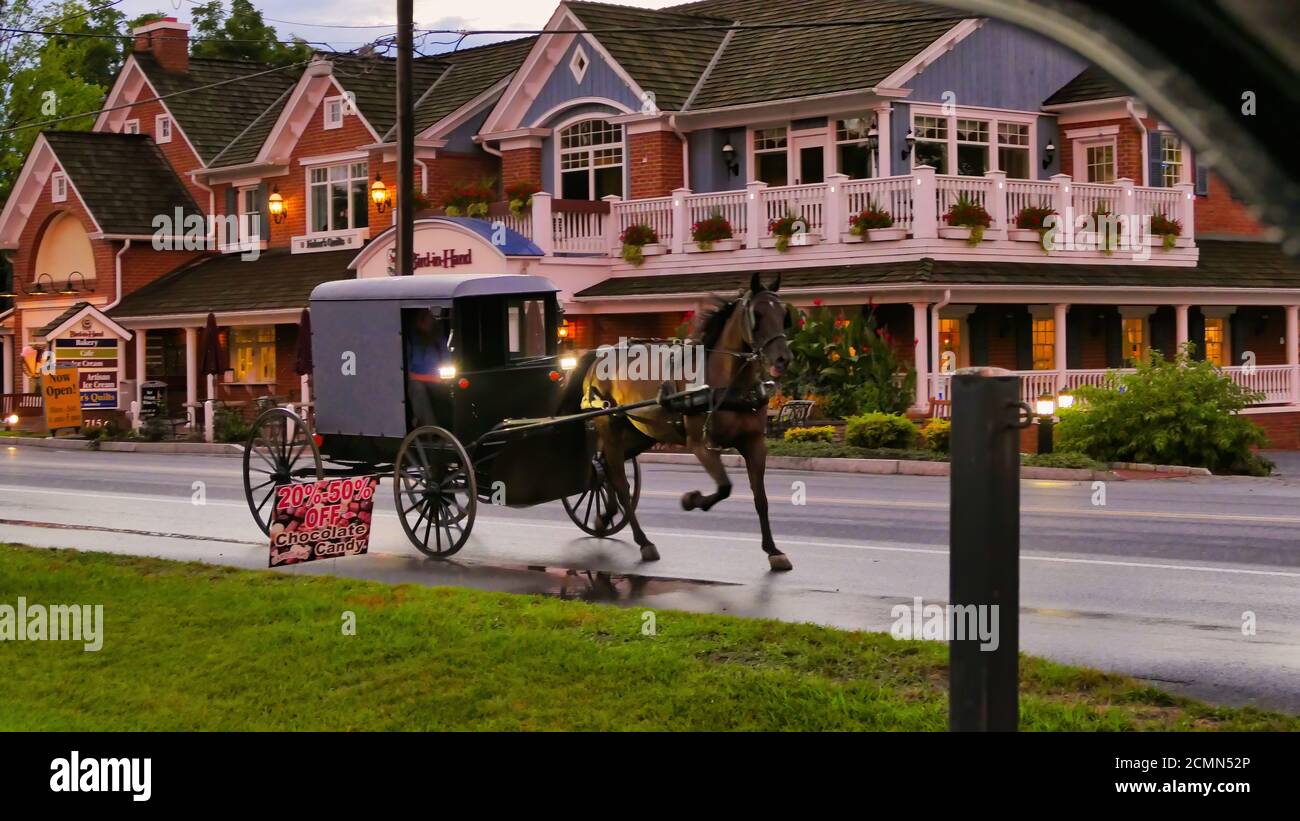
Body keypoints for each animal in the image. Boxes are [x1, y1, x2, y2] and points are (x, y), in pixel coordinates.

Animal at [577, 274, 790, 571]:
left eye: (783, 314)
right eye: (757, 315)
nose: (783, 358)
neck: (727, 385)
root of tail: (596, 361)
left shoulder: (755, 443)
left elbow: (761, 498)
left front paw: (773, 550)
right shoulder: (701, 444)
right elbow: (724, 487)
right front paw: (691, 500)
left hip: (639, 433)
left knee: (606, 469)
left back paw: (604, 516)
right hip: (610, 427)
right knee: (619, 480)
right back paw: (643, 541)